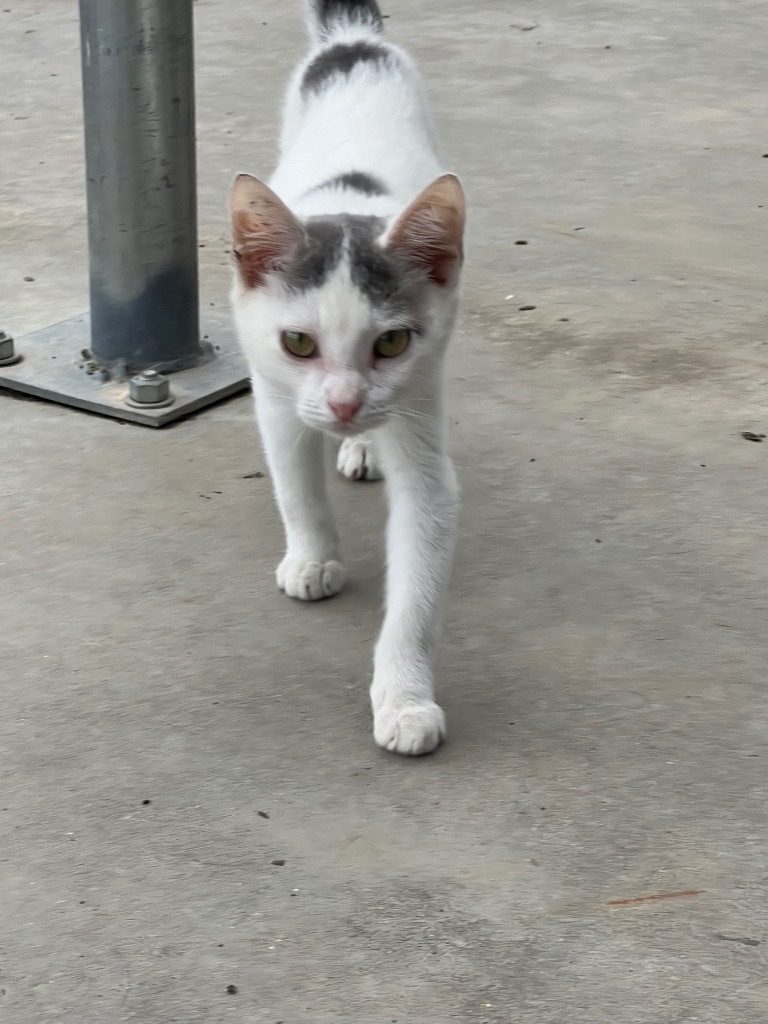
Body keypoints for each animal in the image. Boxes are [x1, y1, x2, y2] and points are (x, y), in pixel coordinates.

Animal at [231, 0, 466, 753]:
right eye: (298, 342)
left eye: (390, 342)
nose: (342, 406)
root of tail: (354, 41)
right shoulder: (276, 397)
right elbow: (295, 487)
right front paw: (312, 558)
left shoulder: (420, 402)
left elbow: (420, 574)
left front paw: (404, 697)